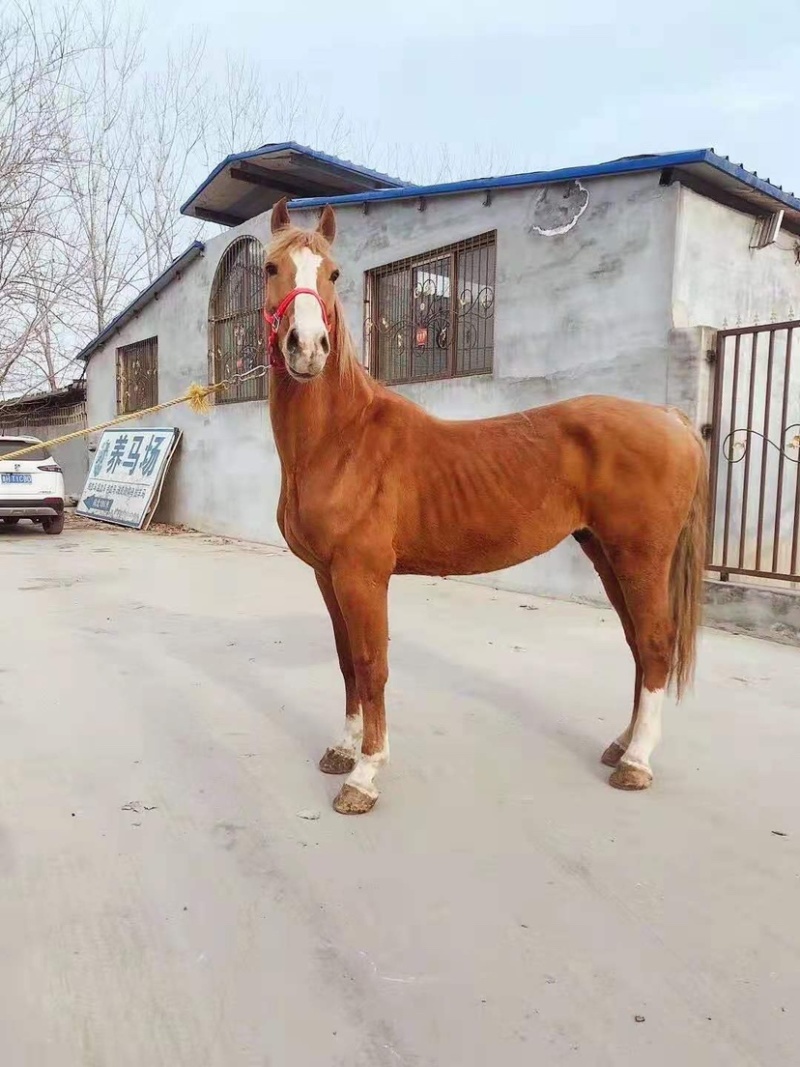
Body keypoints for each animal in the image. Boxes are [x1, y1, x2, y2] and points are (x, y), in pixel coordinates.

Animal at [265, 196, 708, 815]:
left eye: (332, 274)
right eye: (270, 269)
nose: (306, 349)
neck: (340, 440)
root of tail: (671, 419)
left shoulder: (362, 574)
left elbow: (372, 665)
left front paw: (364, 775)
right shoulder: (327, 575)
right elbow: (347, 660)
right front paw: (342, 751)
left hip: (642, 555)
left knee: (656, 643)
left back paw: (637, 763)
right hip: (606, 554)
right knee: (640, 648)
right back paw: (622, 745)